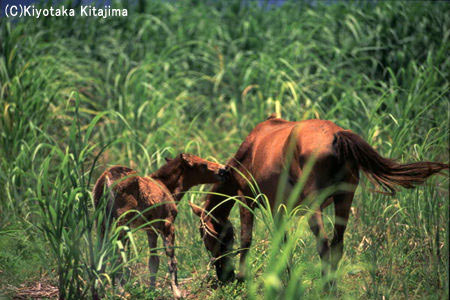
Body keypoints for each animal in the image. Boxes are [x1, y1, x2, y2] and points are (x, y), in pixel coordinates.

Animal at [94, 154, 229, 298]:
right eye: (202, 165)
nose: (223, 169)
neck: (168, 188)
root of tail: (106, 180)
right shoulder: (168, 225)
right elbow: (172, 260)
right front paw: (177, 292)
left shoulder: (151, 230)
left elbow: (153, 261)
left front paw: (152, 290)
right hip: (122, 223)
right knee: (117, 255)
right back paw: (122, 291)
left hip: (102, 223)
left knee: (100, 254)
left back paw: (99, 290)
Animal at [194, 116, 450, 286]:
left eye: (205, 235)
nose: (223, 276)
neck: (249, 149)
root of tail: (337, 136)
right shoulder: (280, 209)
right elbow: (283, 241)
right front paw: (285, 277)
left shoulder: (246, 199)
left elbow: (247, 239)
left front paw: (242, 277)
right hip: (344, 199)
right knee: (337, 244)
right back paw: (332, 287)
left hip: (313, 205)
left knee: (324, 244)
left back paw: (325, 287)